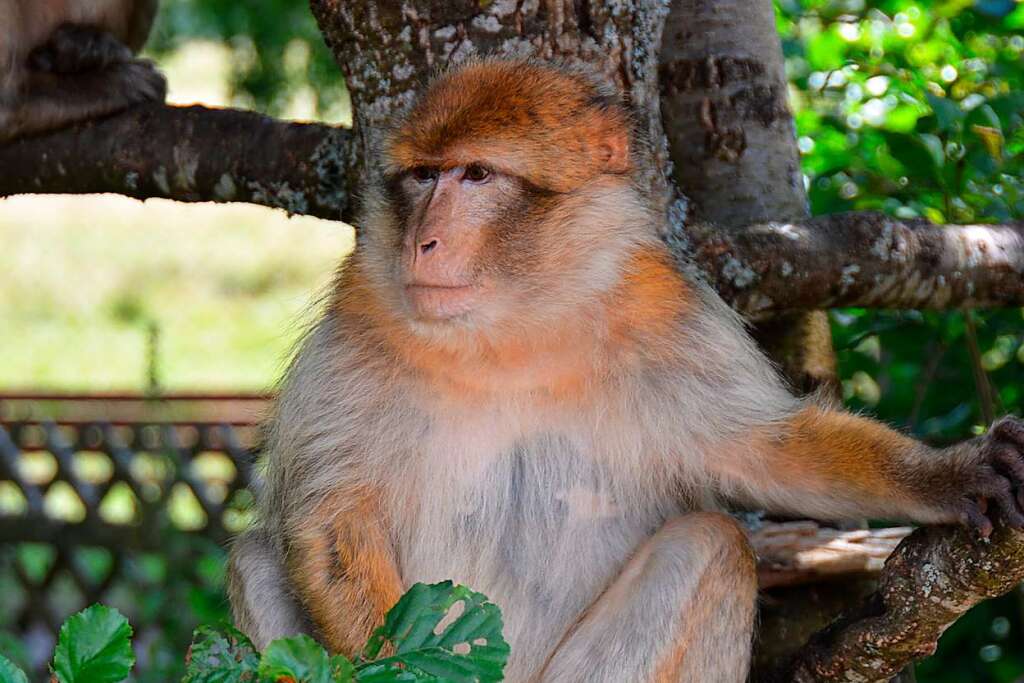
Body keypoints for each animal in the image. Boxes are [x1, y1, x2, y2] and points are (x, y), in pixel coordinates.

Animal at [228, 60, 1024, 683]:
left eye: (476, 174)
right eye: (423, 176)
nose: (422, 242)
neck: (514, 324)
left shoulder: (665, 306)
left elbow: (768, 450)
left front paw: (952, 475)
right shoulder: (360, 308)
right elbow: (329, 517)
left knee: (712, 545)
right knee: (254, 556)